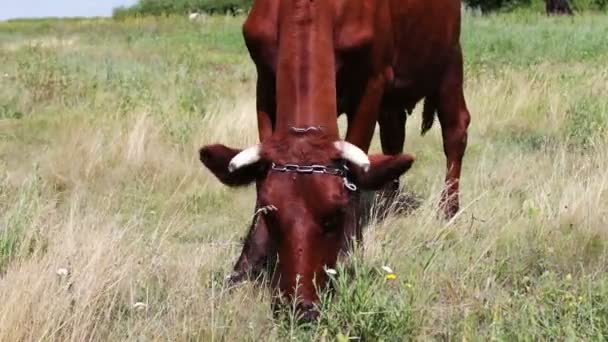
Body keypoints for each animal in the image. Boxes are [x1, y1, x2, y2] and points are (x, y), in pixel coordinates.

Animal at [200, 0, 470, 320]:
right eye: (270, 216)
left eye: (335, 218)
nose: (300, 307)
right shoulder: (264, 81)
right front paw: (245, 265)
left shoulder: (374, 79)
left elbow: (358, 156)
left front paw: (348, 252)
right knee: (393, 135)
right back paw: (389, 202)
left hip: (449, 59)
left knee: (455, 131)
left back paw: (448, 208)